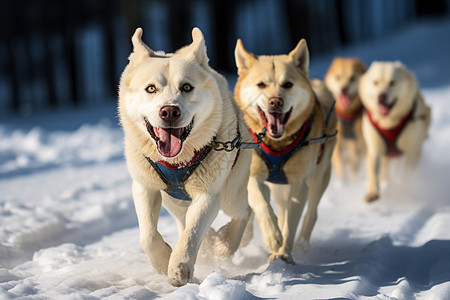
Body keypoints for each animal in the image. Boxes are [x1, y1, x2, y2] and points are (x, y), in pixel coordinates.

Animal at [234, 38, 336, 264]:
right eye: (261, 84)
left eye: (287, 84)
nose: (275, 101)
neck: (277, 145)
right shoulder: (253, 176)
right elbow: (261, 203)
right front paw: (272, 237)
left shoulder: (299, 184)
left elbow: (291, 222)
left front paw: (284, 253)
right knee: (277, 208)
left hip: (318, 179)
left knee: (311, 213)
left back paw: (302, 245)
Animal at [358, 60, 432, 202]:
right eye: (375, 82)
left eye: (392, 82)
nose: (381, 96)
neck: (389, 123)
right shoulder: (375, 148)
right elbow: (373, 171)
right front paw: (373, 192)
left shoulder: (413, 150)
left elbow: (407, 175)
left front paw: (403, 192)